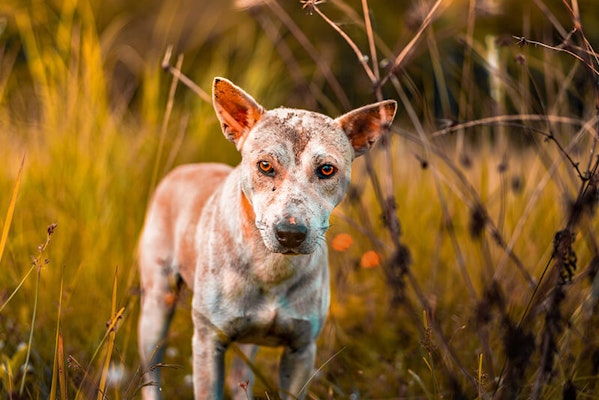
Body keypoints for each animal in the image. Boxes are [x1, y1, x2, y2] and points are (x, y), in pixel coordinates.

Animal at [138, 76, 396, 398]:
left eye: (327, 169)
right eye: (264, 165)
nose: (290, 233)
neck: (270, 268)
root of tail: (183, 170)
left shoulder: (301, 349)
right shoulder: (208, 343)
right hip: (156, 306)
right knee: (151, 367)